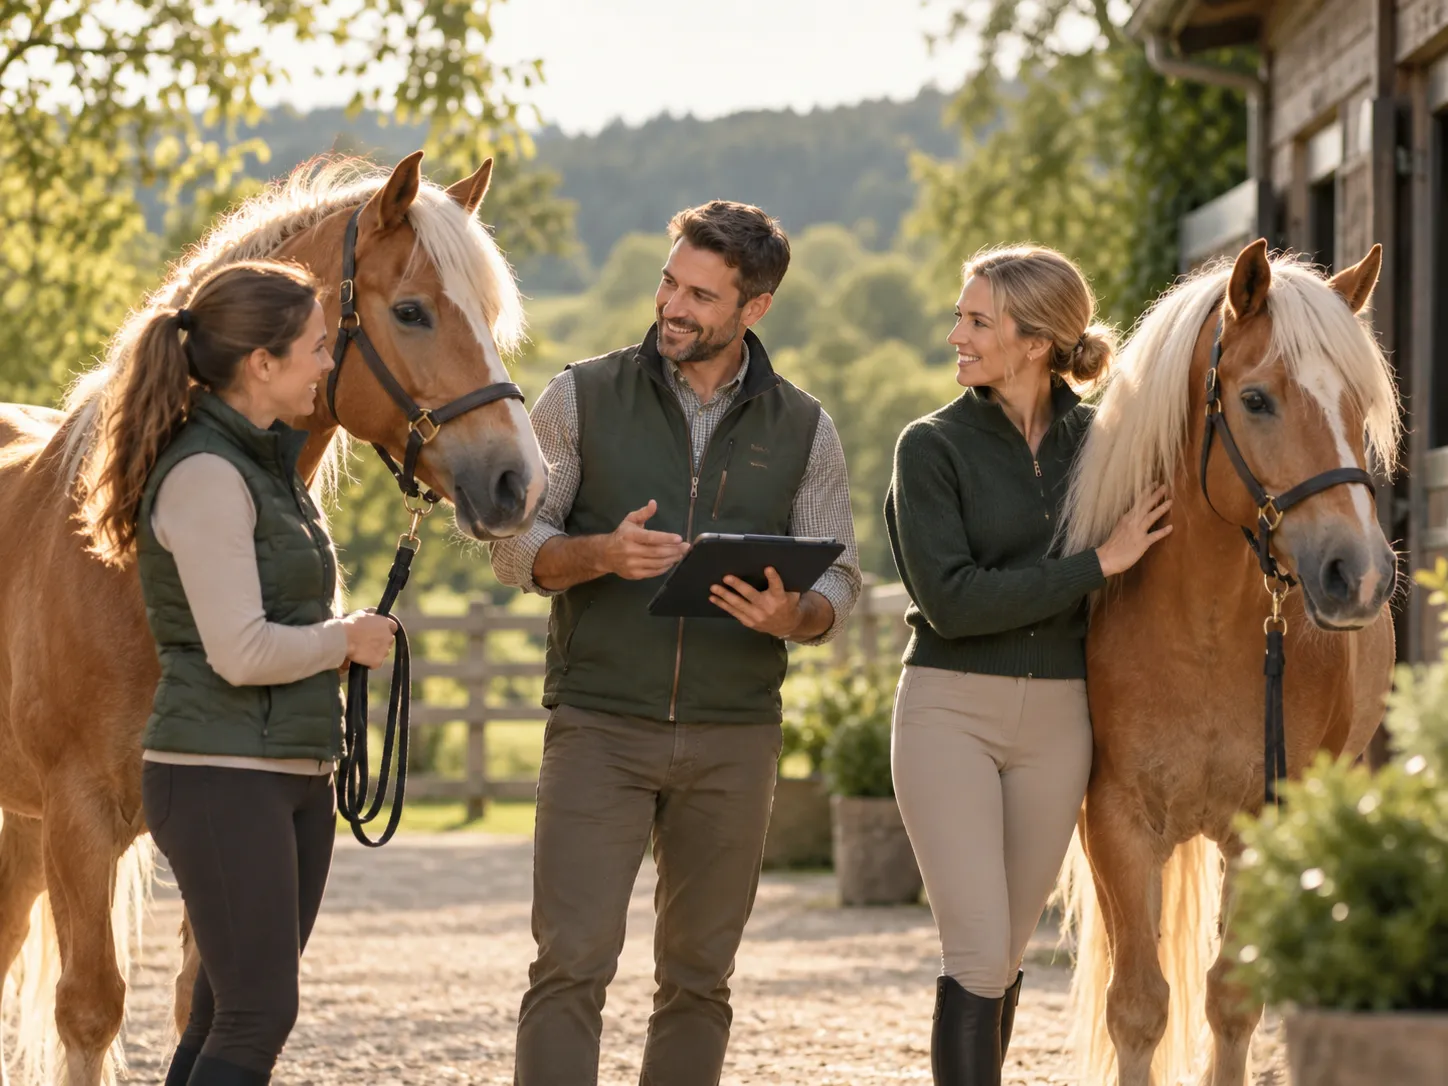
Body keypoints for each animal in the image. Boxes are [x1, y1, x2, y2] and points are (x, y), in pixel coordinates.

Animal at [0, 150, 547, 1085]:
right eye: (411, 310)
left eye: (489, 314)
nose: (521, 480)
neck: (117, 558)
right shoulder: (79, 821)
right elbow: (90, 1010)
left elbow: (198, 1001)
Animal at [1055, 239, 1401, 1086]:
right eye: (1255, 400)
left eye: (1358, 408)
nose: (1360, 574)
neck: (1201, 633)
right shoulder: (1116, 822)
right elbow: (1138, 1007)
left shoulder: (1266, 823)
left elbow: (1232, 1001)